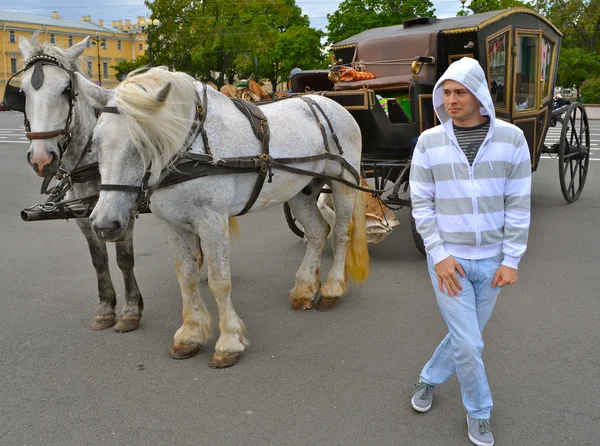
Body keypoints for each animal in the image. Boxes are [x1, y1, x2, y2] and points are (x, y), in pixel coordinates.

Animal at [13, 34, 145, 332]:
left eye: (66, 89)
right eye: (23, 93)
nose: (41, 158)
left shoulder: (124, 210)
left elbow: (124, 258)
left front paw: (131, 310)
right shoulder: (84, 215)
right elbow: (99, 259)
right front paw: (106, 307)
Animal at [88, 69, 370, 370]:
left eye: (143, 142)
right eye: (95, 143)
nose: (104, 224)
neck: (193, 148)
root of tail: (326, 102)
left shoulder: (212, 221)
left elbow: (219, 281)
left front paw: (229, 341)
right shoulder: (172, 225)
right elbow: (186, 277)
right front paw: (190, 334)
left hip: (343, 184)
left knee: (340, 233)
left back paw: (331, 289)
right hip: (300, 191)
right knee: (318, 231)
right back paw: (305, 289)